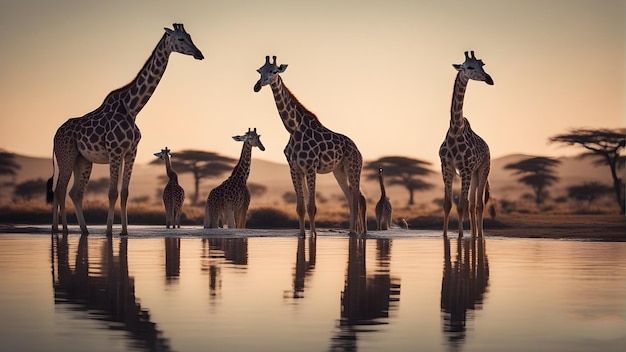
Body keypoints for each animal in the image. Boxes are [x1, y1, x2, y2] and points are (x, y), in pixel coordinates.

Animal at [47, 23, 202, 235]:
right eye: (180, 39)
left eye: (190, 36)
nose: (199, 54)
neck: (133, 108)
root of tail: (55, 135)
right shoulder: (115, 151)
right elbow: (112, 192)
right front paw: (108, 231)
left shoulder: (130, 152)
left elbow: (125, 192)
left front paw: (124, 231)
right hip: (66, 156)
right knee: (59, 190)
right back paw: (60, 229)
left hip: (83, 160)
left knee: (74, 193)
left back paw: (84, 229)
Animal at [254, 55, 366, 236]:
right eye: (259, 70)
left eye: (274, 71)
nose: (257, 86)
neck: (293, 129)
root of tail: (358, 150)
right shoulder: (295, 169)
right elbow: (301, 207)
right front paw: (303, 234)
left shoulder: (311, 168)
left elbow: (312, 206)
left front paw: (313, 235)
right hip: (338, 170)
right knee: (351, 198)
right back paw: (353, 231)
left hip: (353, 167)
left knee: (357, 198)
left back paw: (356, 232)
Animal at [438, 51, 492, 238]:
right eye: (469, 67)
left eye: (482, 65)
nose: (489, 79)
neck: (455, 130)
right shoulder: (446, 168)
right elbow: (448, 205)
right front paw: (445, 236)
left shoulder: (465, 169)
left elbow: (461, 205)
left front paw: (461, 236)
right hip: (474, 173)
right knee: (472, 204)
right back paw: (474, 234)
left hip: (483, 169)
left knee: (479, 204)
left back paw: (480, 235)